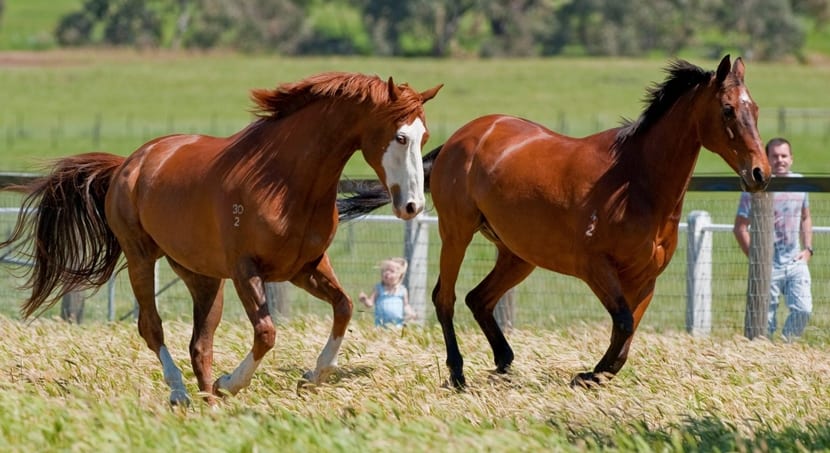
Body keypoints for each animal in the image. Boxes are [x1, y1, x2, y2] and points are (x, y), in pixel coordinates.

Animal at [1, 72, 442, 404]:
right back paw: (181, 393)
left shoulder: (305, 267)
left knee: (200, 343)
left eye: (424, 136)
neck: (284, 180)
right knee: (152, 327)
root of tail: (129, 163)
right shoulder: (246, 269)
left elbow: (345, 308)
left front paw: (312, 376)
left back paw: (209, 403)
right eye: (400, 137)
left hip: (203, 278)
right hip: (142, 258)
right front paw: (233, 383)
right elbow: (266, 333)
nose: (412, 206)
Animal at [337, 55, 770, 388]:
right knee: (445, 297)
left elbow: (627, 333)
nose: (760, 173)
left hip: (518, 254)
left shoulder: (646, 279)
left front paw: (597, 374)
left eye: (755, 109)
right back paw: (458, 373)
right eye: (728, 110)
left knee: (480, 298)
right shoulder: (596, 268)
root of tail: (461, 138)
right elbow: (623, 323)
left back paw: (504, 363)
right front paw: (588, 375)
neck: (634, 182)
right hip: (456, 233)